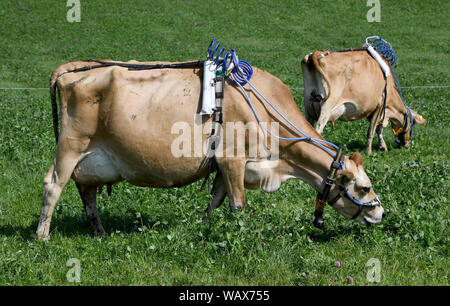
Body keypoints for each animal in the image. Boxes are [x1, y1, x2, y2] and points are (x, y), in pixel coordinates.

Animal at [36, 59, 386, 240]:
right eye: (364, 187)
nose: (380, 213)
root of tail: (73, 68)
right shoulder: (232, 159)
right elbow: (238, 205)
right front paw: (242, 234)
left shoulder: (222, 167)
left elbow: (215, 201)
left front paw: (203, 229)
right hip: (70, 145)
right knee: (53, 184)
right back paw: (42, 236)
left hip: (91, 160)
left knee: (87, 192)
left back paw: (99, 232)